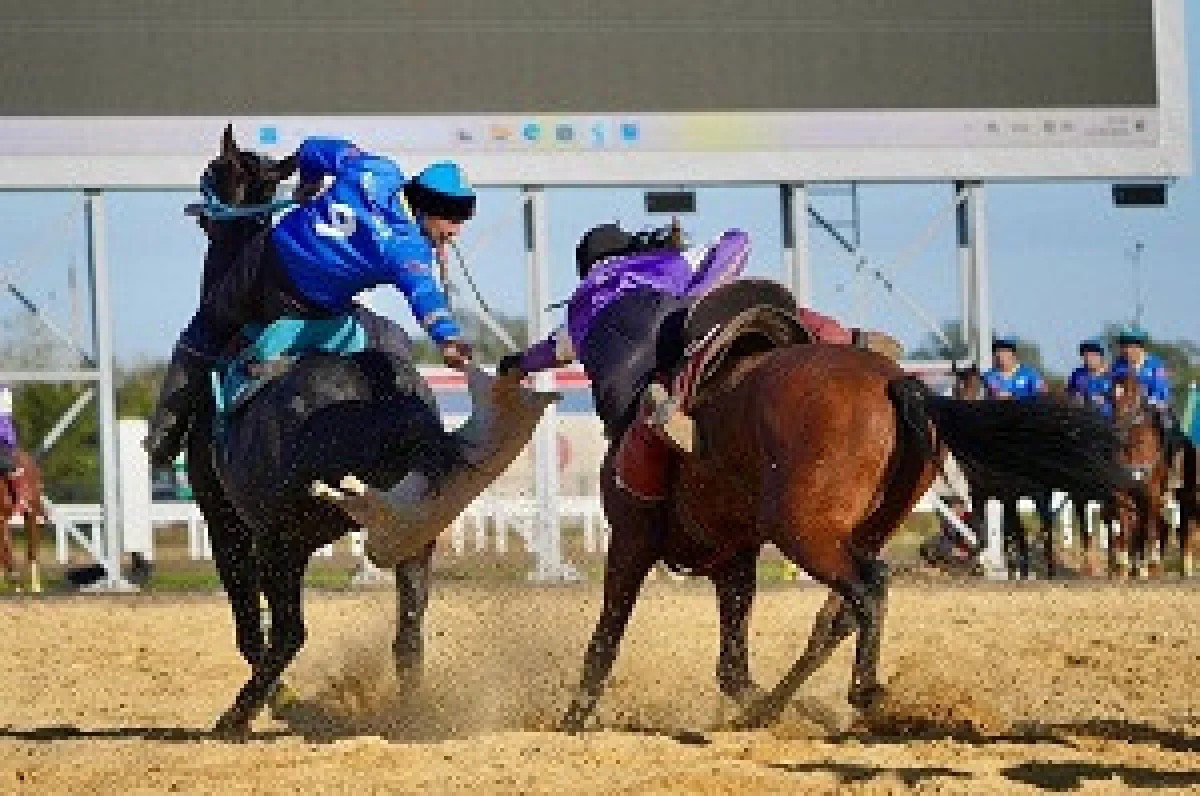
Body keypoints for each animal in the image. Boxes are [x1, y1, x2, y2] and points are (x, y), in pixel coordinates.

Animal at [556, 333, 1128, 729]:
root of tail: (897, 384)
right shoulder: (734, 563)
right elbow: (731, 667)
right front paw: (771, 708)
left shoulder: (631, 543)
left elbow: (605, 641)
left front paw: (571, 719)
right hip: (852, 533)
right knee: (840, 615)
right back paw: (791, 706)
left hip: (803, 531)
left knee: (868, 587)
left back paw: (864, 691)